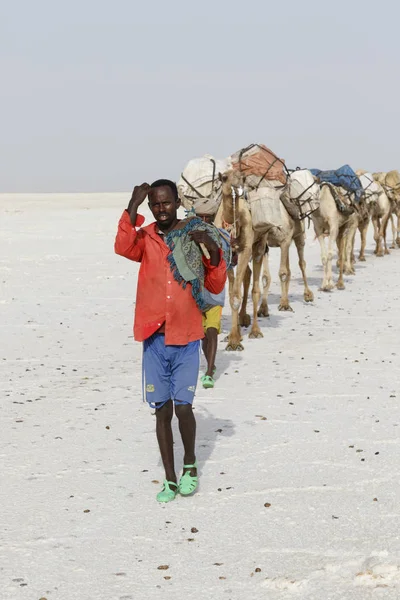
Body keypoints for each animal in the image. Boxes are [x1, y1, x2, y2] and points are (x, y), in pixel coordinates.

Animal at [214, 170, 314, 352]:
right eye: (224, 178)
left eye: (242, 178)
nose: (238, 188)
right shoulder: (227, 253)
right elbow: (232, 293)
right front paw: (232, 337)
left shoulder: (251, 247)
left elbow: (240, 292)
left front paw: (235, 341)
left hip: (271, 242)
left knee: (294, 266)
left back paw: (256, 330)